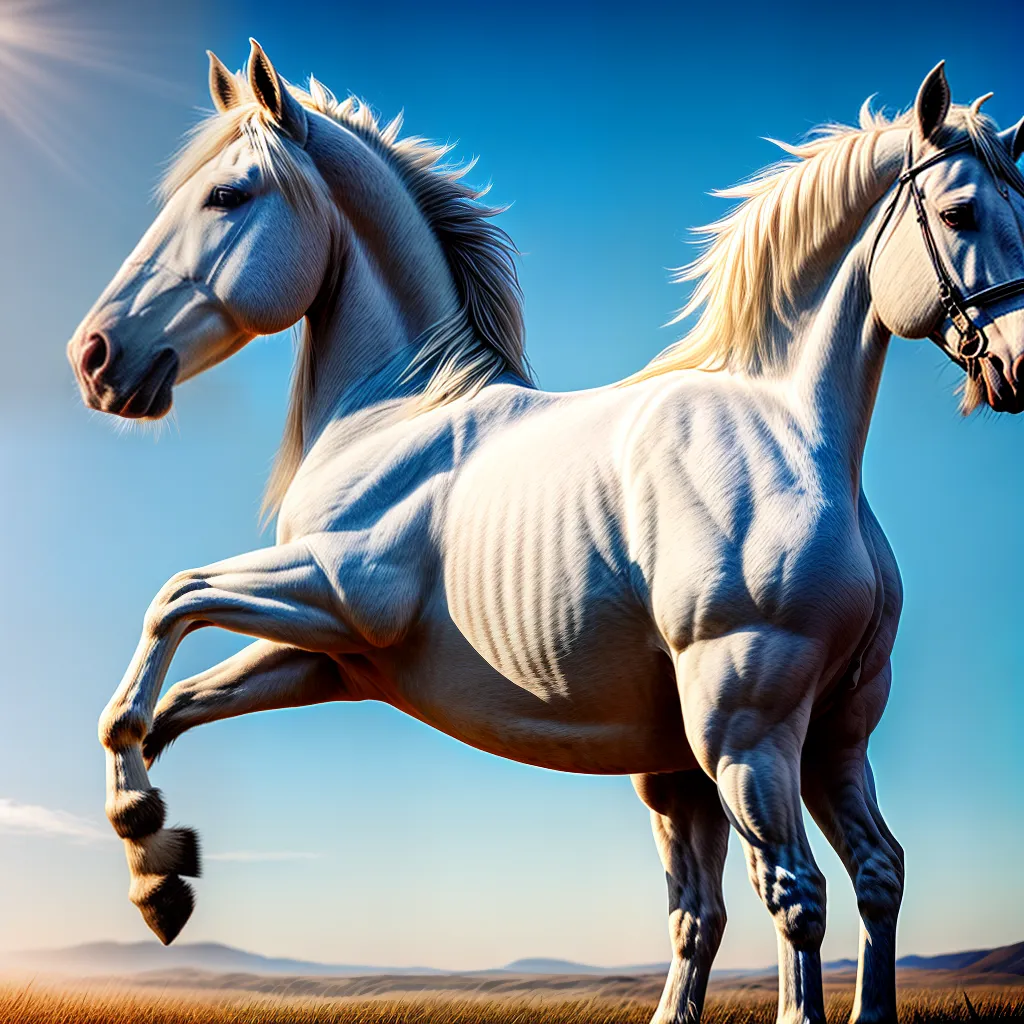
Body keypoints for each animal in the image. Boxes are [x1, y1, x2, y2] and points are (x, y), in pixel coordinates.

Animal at [68, 43, 1024, 1024]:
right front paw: (158, 869)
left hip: (746, 738)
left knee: (796, 892)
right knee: (859, 876)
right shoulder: (330, 657)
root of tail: (817, 445)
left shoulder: (335, 589)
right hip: (819, 741)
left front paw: (149, 852)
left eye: (228, 195)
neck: (398, 413)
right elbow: (162, 709)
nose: (97, 357)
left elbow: (169, 605)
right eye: (965, 210)